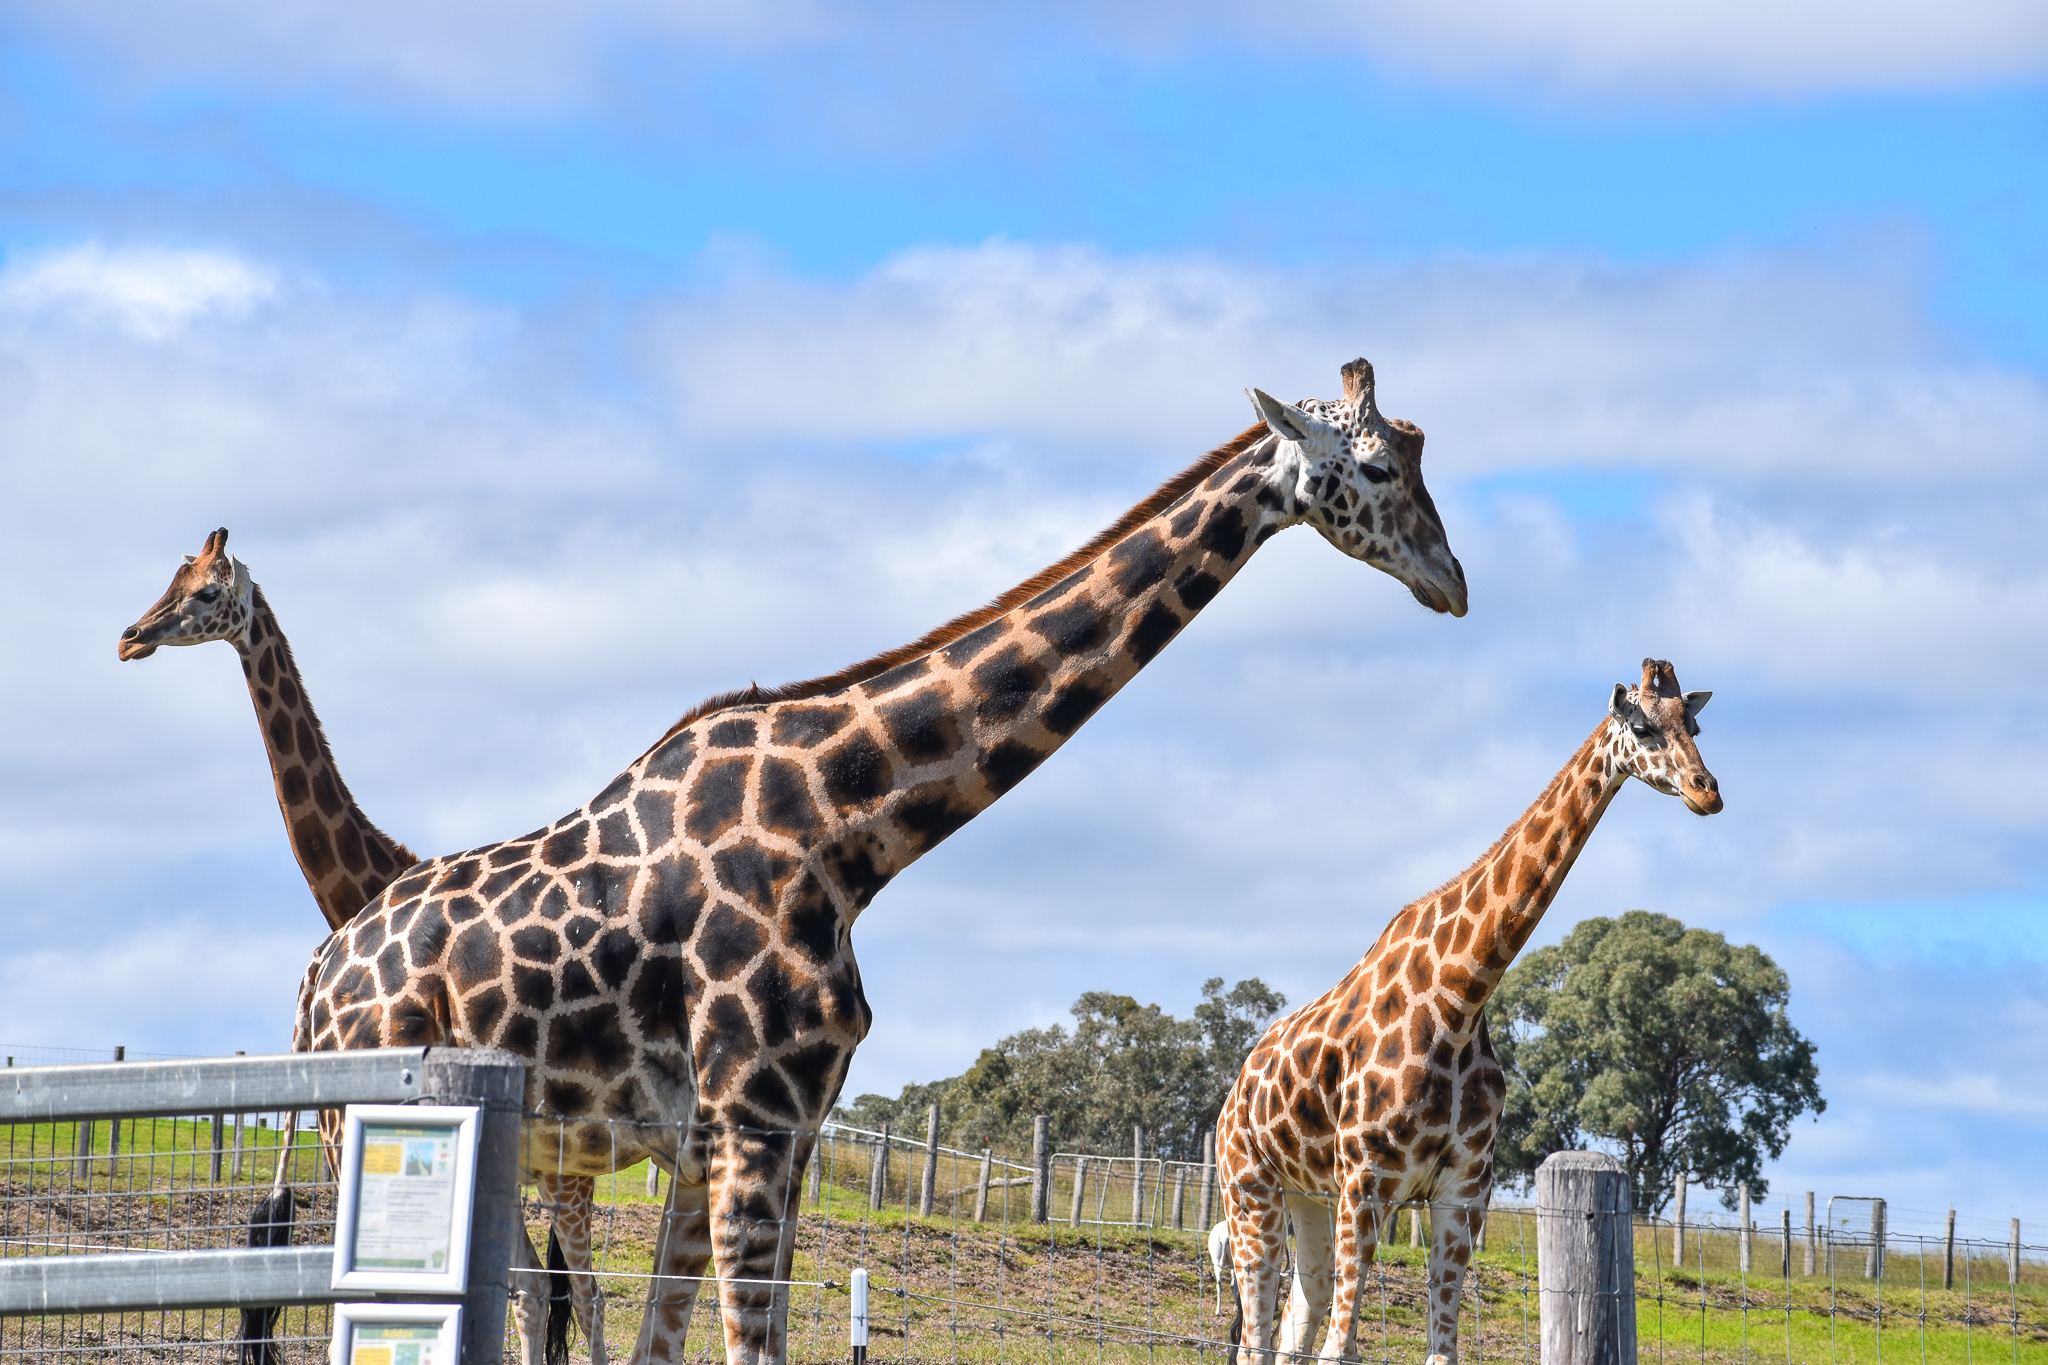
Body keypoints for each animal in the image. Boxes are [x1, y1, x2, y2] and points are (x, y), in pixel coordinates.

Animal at [294, 358, 1468, 1365]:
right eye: (1377, 467)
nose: (1453, 582)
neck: (847, 829)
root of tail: (320, 974)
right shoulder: (756, 1118)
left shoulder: (765, 1130)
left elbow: (669, 1336)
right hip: (362, 1122)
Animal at [1215, 659, 1722, 1365]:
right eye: (1643, 725)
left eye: (1694, 726)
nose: (1708, 792)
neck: (1460, 998)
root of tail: (1231, 1098)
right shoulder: (1365, 1183)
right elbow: (1341, 1348)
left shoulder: (1462, 1192)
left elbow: (1439, 1350)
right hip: (1250, 1190)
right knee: (1257, 1336)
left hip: (1306, 1195)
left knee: (1296, 1316)